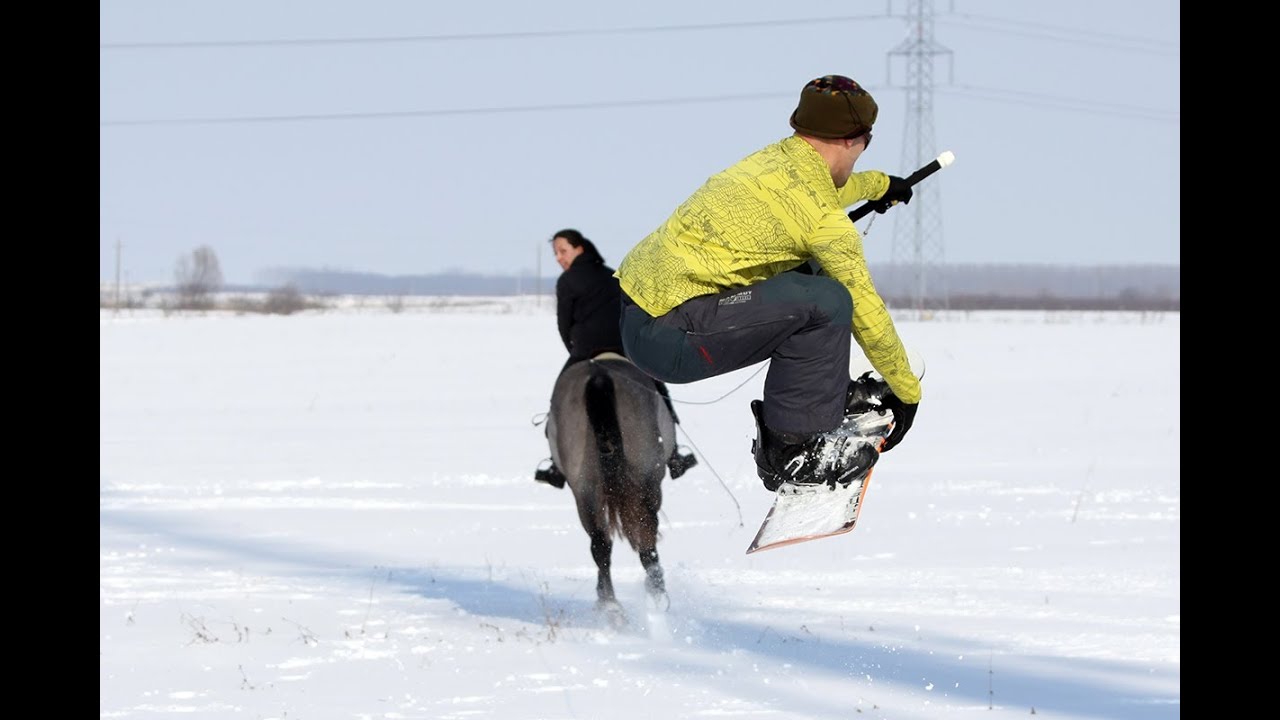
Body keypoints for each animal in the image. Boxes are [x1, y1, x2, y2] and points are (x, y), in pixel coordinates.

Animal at [546, 352, 675, 623]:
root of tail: (599, 377)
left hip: (584, 488)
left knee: (600, 543)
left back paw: (610, 604)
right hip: (647, 479)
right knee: (646, 536)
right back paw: (654, 593)